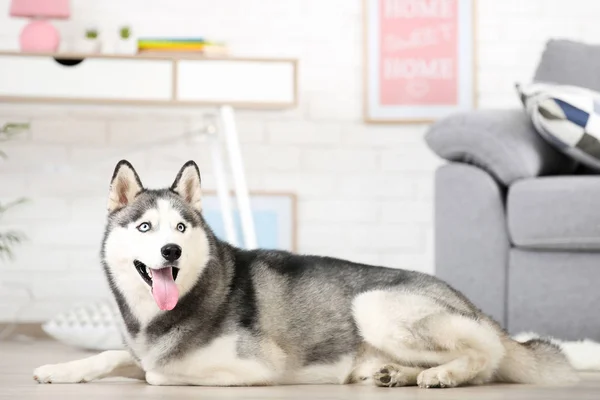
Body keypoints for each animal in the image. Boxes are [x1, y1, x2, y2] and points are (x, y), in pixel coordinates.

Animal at [32, 161, 576, 390]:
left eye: (181, 227)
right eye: (145, 226)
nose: (171, 250)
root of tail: (473, 305)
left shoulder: (254, 367)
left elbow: (155, 371)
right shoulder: (138, 346)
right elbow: (114, 356)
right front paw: (60, 370)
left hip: (373, 304)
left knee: (484, 357)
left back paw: (442, 374)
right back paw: (397, 373)